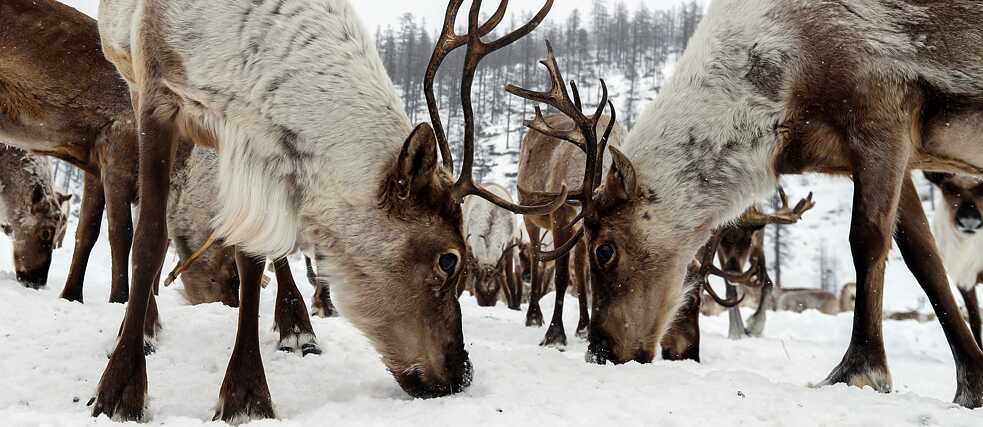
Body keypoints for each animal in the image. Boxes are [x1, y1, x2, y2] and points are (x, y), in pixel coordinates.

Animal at [92, 0, 561, 421]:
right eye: (448, 259)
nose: (461, 373)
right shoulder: (157, 92)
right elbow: (149, 238)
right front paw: (120, 388)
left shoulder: (247, 145)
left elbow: (252, 255)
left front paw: (246, 393)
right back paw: (145, 328)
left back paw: (296, 329)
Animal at [517, 113, 625, 347]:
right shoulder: (560, 219)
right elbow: (562, 275)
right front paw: (555, 334)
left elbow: (583, 277)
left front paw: (587, 329)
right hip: (530, 218)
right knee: (535, 258)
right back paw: (533, 316)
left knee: (578, 269)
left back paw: (582, 326)